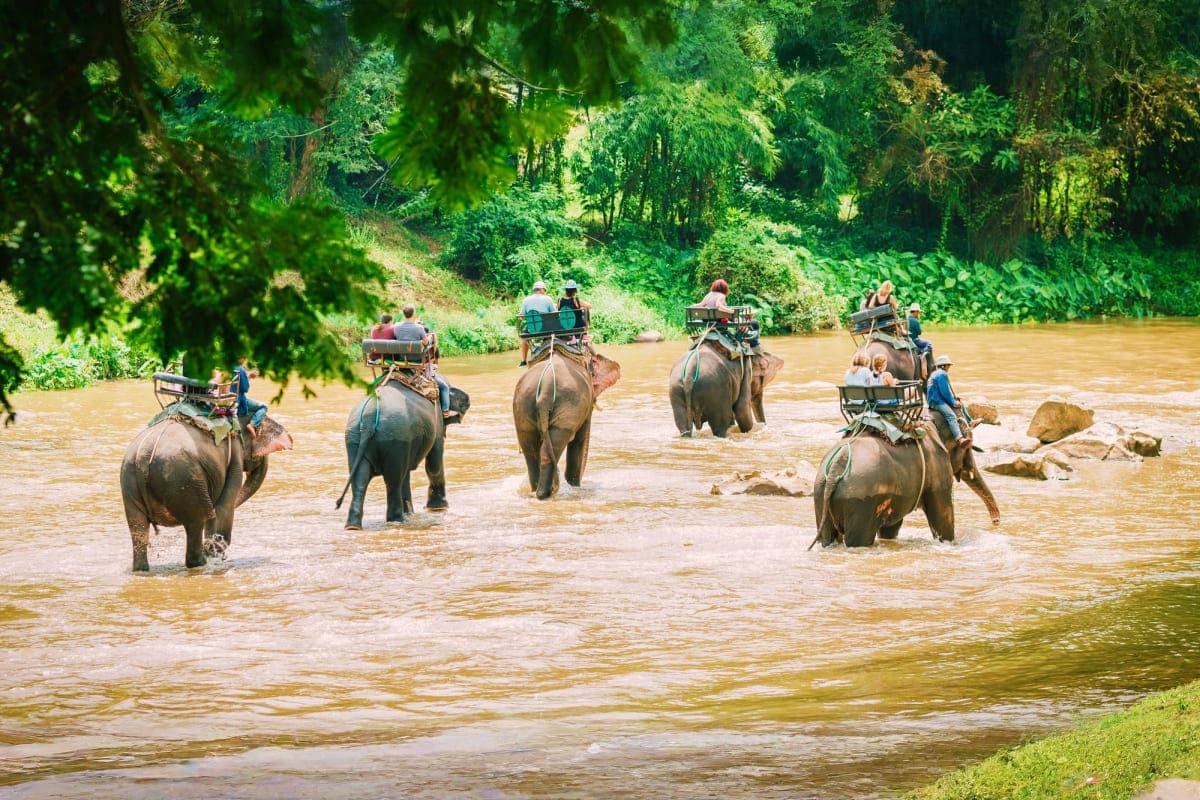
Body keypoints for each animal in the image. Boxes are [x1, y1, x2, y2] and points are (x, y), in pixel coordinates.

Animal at [120, 414, 293, 571]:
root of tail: (144, 456)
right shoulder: (235, 457)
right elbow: (224, 506)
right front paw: (217, 553)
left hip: (130, 482)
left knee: (138, 527)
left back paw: (141, 569)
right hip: (183, 481)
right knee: (196, 521)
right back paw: (201, 563)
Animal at [340, 381, 470, 529]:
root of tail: (368, 418)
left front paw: (412, 513)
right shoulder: (436, 418)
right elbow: (434, 463)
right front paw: (438, 508)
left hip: (355, 439)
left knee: (359, 479)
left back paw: (353, 527)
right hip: (395, 437)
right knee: (394, 481)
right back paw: (397, 521)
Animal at [513, 346, 621, 499]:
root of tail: (545, 389)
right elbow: (579, 439)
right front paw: (574, 486)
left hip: (523, 403)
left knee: (531, 451)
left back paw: (537, 491)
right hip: (568, 405)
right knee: (552, 446)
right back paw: (546, 493)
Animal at [812, 414, 1000, 548]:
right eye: (968, 447)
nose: (996, 522)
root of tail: (836, 466)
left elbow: (892, 527)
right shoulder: (938, 467)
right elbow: (942, 517)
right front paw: (950, 544)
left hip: (821, 493)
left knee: (827, 537)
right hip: (861, 502)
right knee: (858, 539)